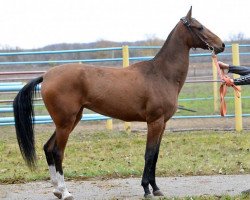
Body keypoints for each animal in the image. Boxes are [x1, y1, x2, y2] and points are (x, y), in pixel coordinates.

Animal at [13, 7, 225, 199]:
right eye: (199, 27)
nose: (221, 45)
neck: (161, 74)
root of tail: (47, 75)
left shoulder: (162, 124)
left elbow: (155, 155)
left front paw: (156, 188)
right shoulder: (154, 122)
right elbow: (149, 154)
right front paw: (146, 189)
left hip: (70, 121)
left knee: (48, 148)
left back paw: (57, 190)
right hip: (65, 123)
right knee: (57, 152)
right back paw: (65, 192)